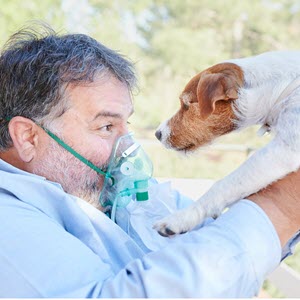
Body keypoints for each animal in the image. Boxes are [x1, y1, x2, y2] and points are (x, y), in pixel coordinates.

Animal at [152, 49, 300, 237]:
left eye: (185, 104)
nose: (157, 134)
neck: (285, 86)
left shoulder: (283, 150)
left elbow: (222, 185)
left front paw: (181, 218)